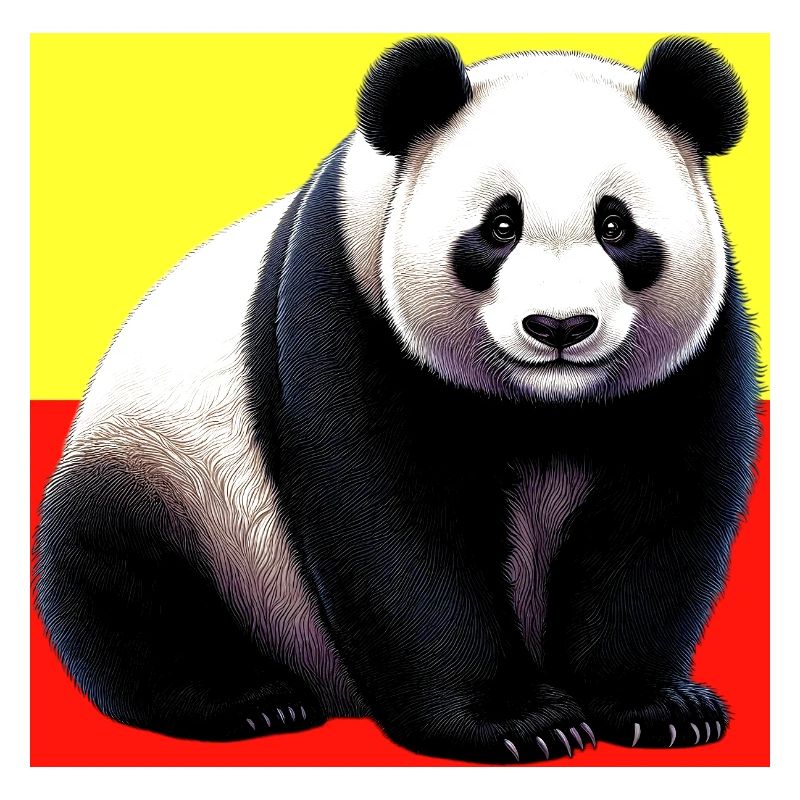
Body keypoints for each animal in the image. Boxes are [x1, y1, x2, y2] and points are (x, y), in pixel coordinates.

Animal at [34, 36, 760, 764]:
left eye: (615, 225)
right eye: (500, 226)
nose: (559, 326)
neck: (544, 406)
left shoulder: (690, 362)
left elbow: (658, 518)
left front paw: (658, 707)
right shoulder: (346, 308)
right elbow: (393, 524)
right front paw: (517, 721)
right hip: (165, 470)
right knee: (125, 584)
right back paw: (253, 701)